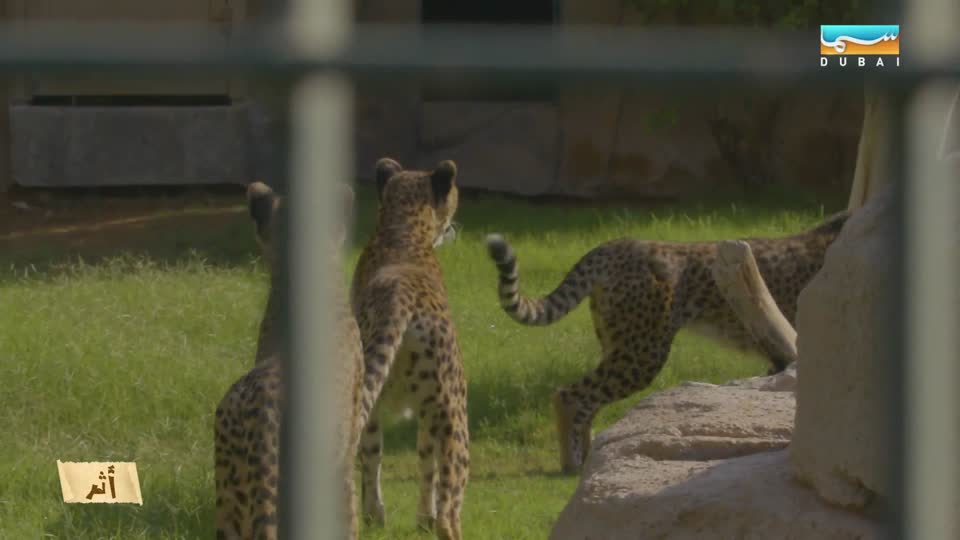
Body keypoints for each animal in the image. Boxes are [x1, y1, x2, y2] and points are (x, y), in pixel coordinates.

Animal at [350, 157, 469, 540]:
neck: (402, 228)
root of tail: (399, 300)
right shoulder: (432, 411)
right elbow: (427, 463)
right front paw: (424, 519)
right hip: (454, 414)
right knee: (450, 505)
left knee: (368, 460)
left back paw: (372, 517)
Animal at [485, 209, 851, 474]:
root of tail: (621, 243)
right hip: (642, 351)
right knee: (570, 395)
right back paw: (572, 465)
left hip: (619, 343)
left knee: (589, 399)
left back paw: (587, 462)